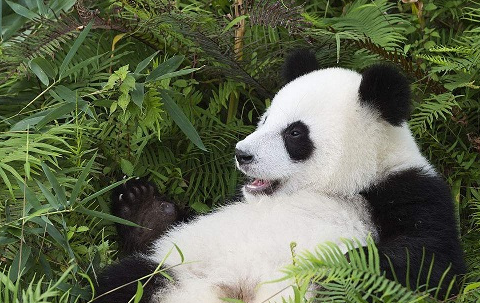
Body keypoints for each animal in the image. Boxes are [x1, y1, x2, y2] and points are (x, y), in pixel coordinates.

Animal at [94, 51, 464, 302]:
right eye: (265, 119)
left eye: (295, 133)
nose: (242, 154)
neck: (337, 187)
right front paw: (144, 209)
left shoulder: (409, 191)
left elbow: (429, 262)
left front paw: (338, 265)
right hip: (174, 273)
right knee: (124, 283)